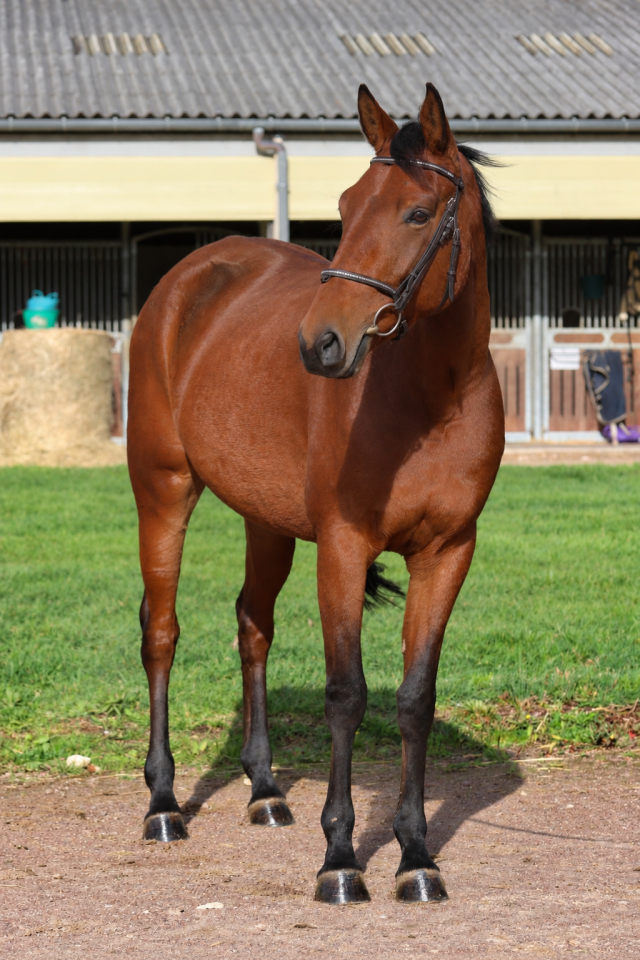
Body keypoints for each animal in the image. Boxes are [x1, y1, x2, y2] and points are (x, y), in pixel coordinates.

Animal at [127, 82, 504, 905]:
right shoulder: (343, 543)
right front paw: (340, 860)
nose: (321, 343)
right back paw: (164, 803)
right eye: (346, 202)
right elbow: (346, 693)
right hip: (163, 492)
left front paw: (416, 857)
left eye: (417, 213)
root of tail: (191, 275)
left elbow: (414, 698)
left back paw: (266, 789)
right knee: (162, 633)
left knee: (252, 625)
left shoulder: (449, 553)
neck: (432, 399)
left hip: (265, 522)